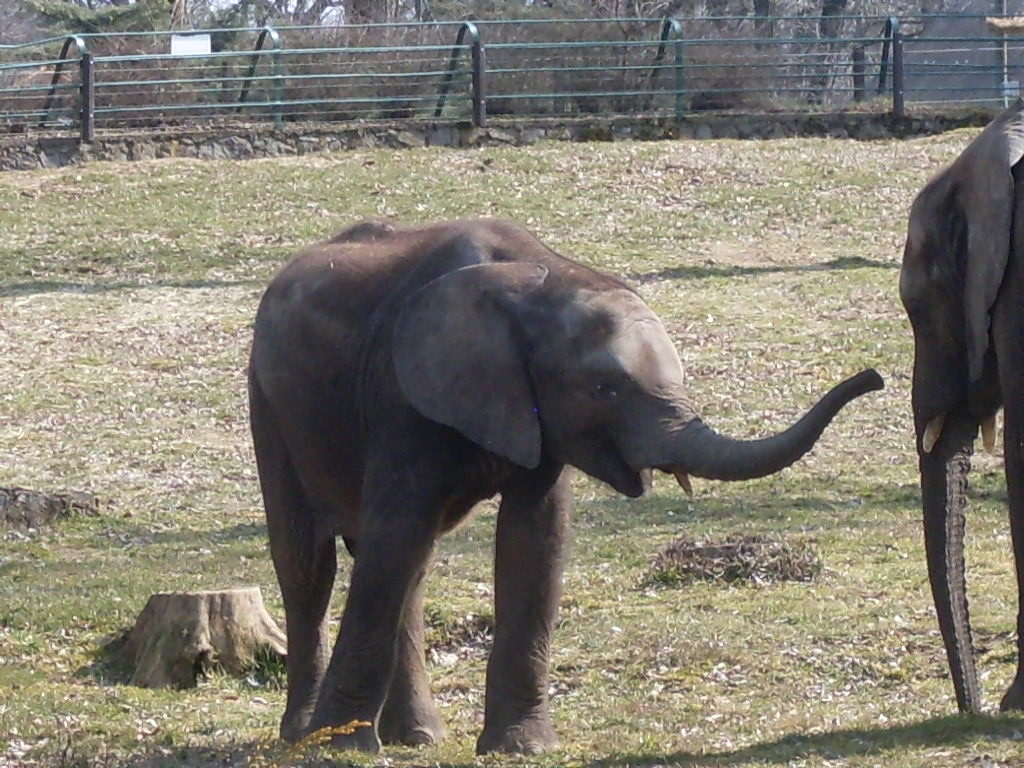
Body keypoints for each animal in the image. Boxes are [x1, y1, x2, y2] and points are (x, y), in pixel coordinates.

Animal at [247, 217, 884, 754]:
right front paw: (336, 748)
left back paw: (419, 738)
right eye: (605, 388)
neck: (537, 282)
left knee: (411, 568)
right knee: (312, 562)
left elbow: (535, 539)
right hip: (267, 399)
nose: (874, 377)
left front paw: (521, 748)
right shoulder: (403, 394)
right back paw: (304, 733)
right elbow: (396, 534)